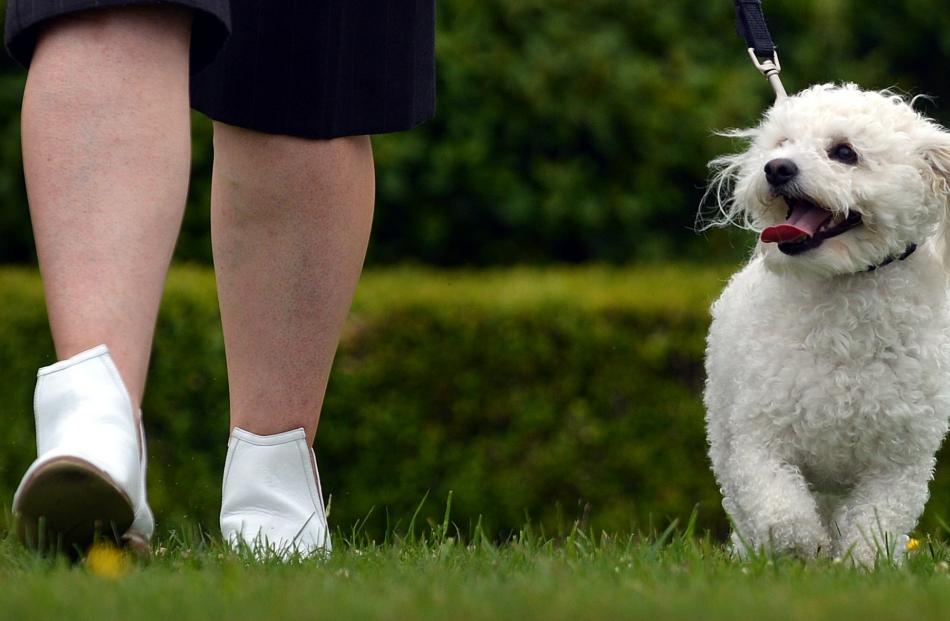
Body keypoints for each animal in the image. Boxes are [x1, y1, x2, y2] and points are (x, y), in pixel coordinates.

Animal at [704, 85, 950, 564]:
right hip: (722, 432)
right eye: (782, 143)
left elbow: (878, 523)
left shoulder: (900, 462)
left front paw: (861, 565)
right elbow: (781, 510)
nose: (776, 168)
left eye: (844, 153)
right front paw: (804, 549)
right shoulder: (759, 438)